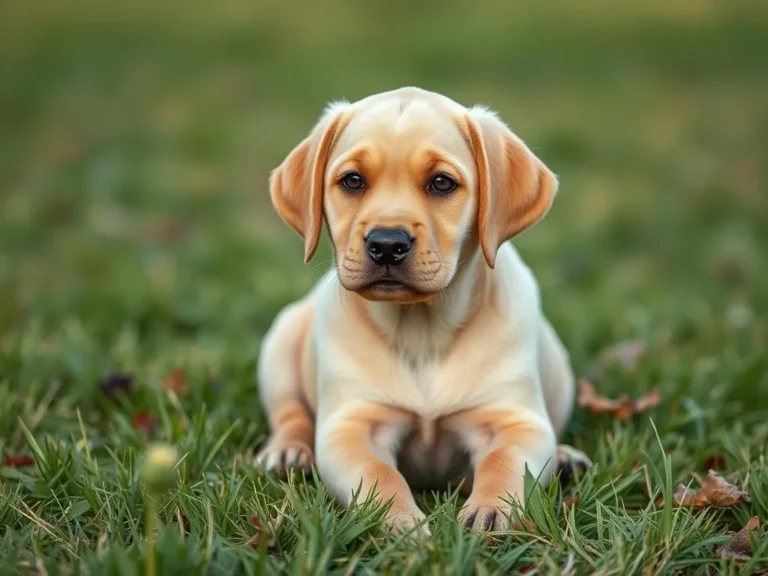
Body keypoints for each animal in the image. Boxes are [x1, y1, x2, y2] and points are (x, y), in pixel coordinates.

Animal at [258, 88, 584, 532]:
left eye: (442, 183)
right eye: (353, 181)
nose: (386, 244)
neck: (421, 330)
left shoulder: (515, 420)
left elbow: (505, 461)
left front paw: (491, 509)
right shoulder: (351, 427)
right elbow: (378, 475)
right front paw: (401, 523)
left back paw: (567, 457)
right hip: (281, 343)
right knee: (290, 413)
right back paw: (288, 451)